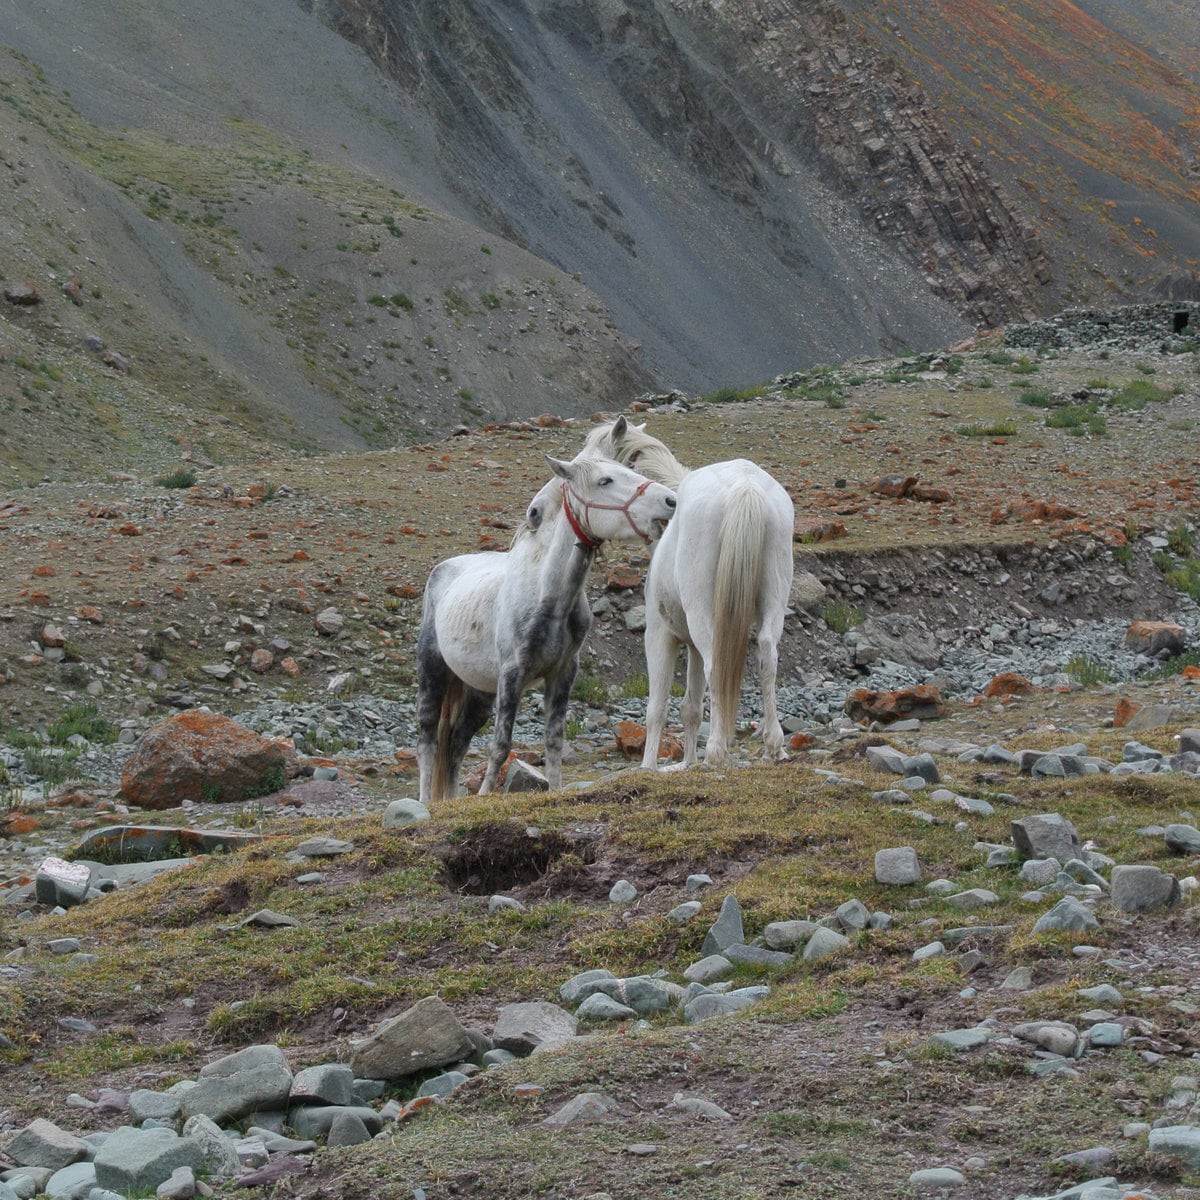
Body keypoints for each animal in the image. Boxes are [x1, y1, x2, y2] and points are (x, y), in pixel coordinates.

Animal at [415, 453, 676, 801]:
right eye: (604, 480)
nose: (671, 500)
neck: (548, 597)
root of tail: (443, 569)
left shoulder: (563, 673)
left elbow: (554, 741)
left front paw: (555, 790)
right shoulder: (512, 674)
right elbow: (500, 745)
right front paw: (484, 795)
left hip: (478, 690)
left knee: (456, 744)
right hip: (433, 672)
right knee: (428, 742)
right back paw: (425, 801)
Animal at [583, 417, 796, 763]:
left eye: (598, 470)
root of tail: (745, 486)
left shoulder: (660, 634)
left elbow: (657, 708)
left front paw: (649, 766)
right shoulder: (691, 646)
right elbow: (691, 708)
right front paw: (687, 764)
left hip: (702, 618)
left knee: (717, 664)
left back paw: (717, 750)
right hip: (773, 604)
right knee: (768, 655)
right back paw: (773, 746)